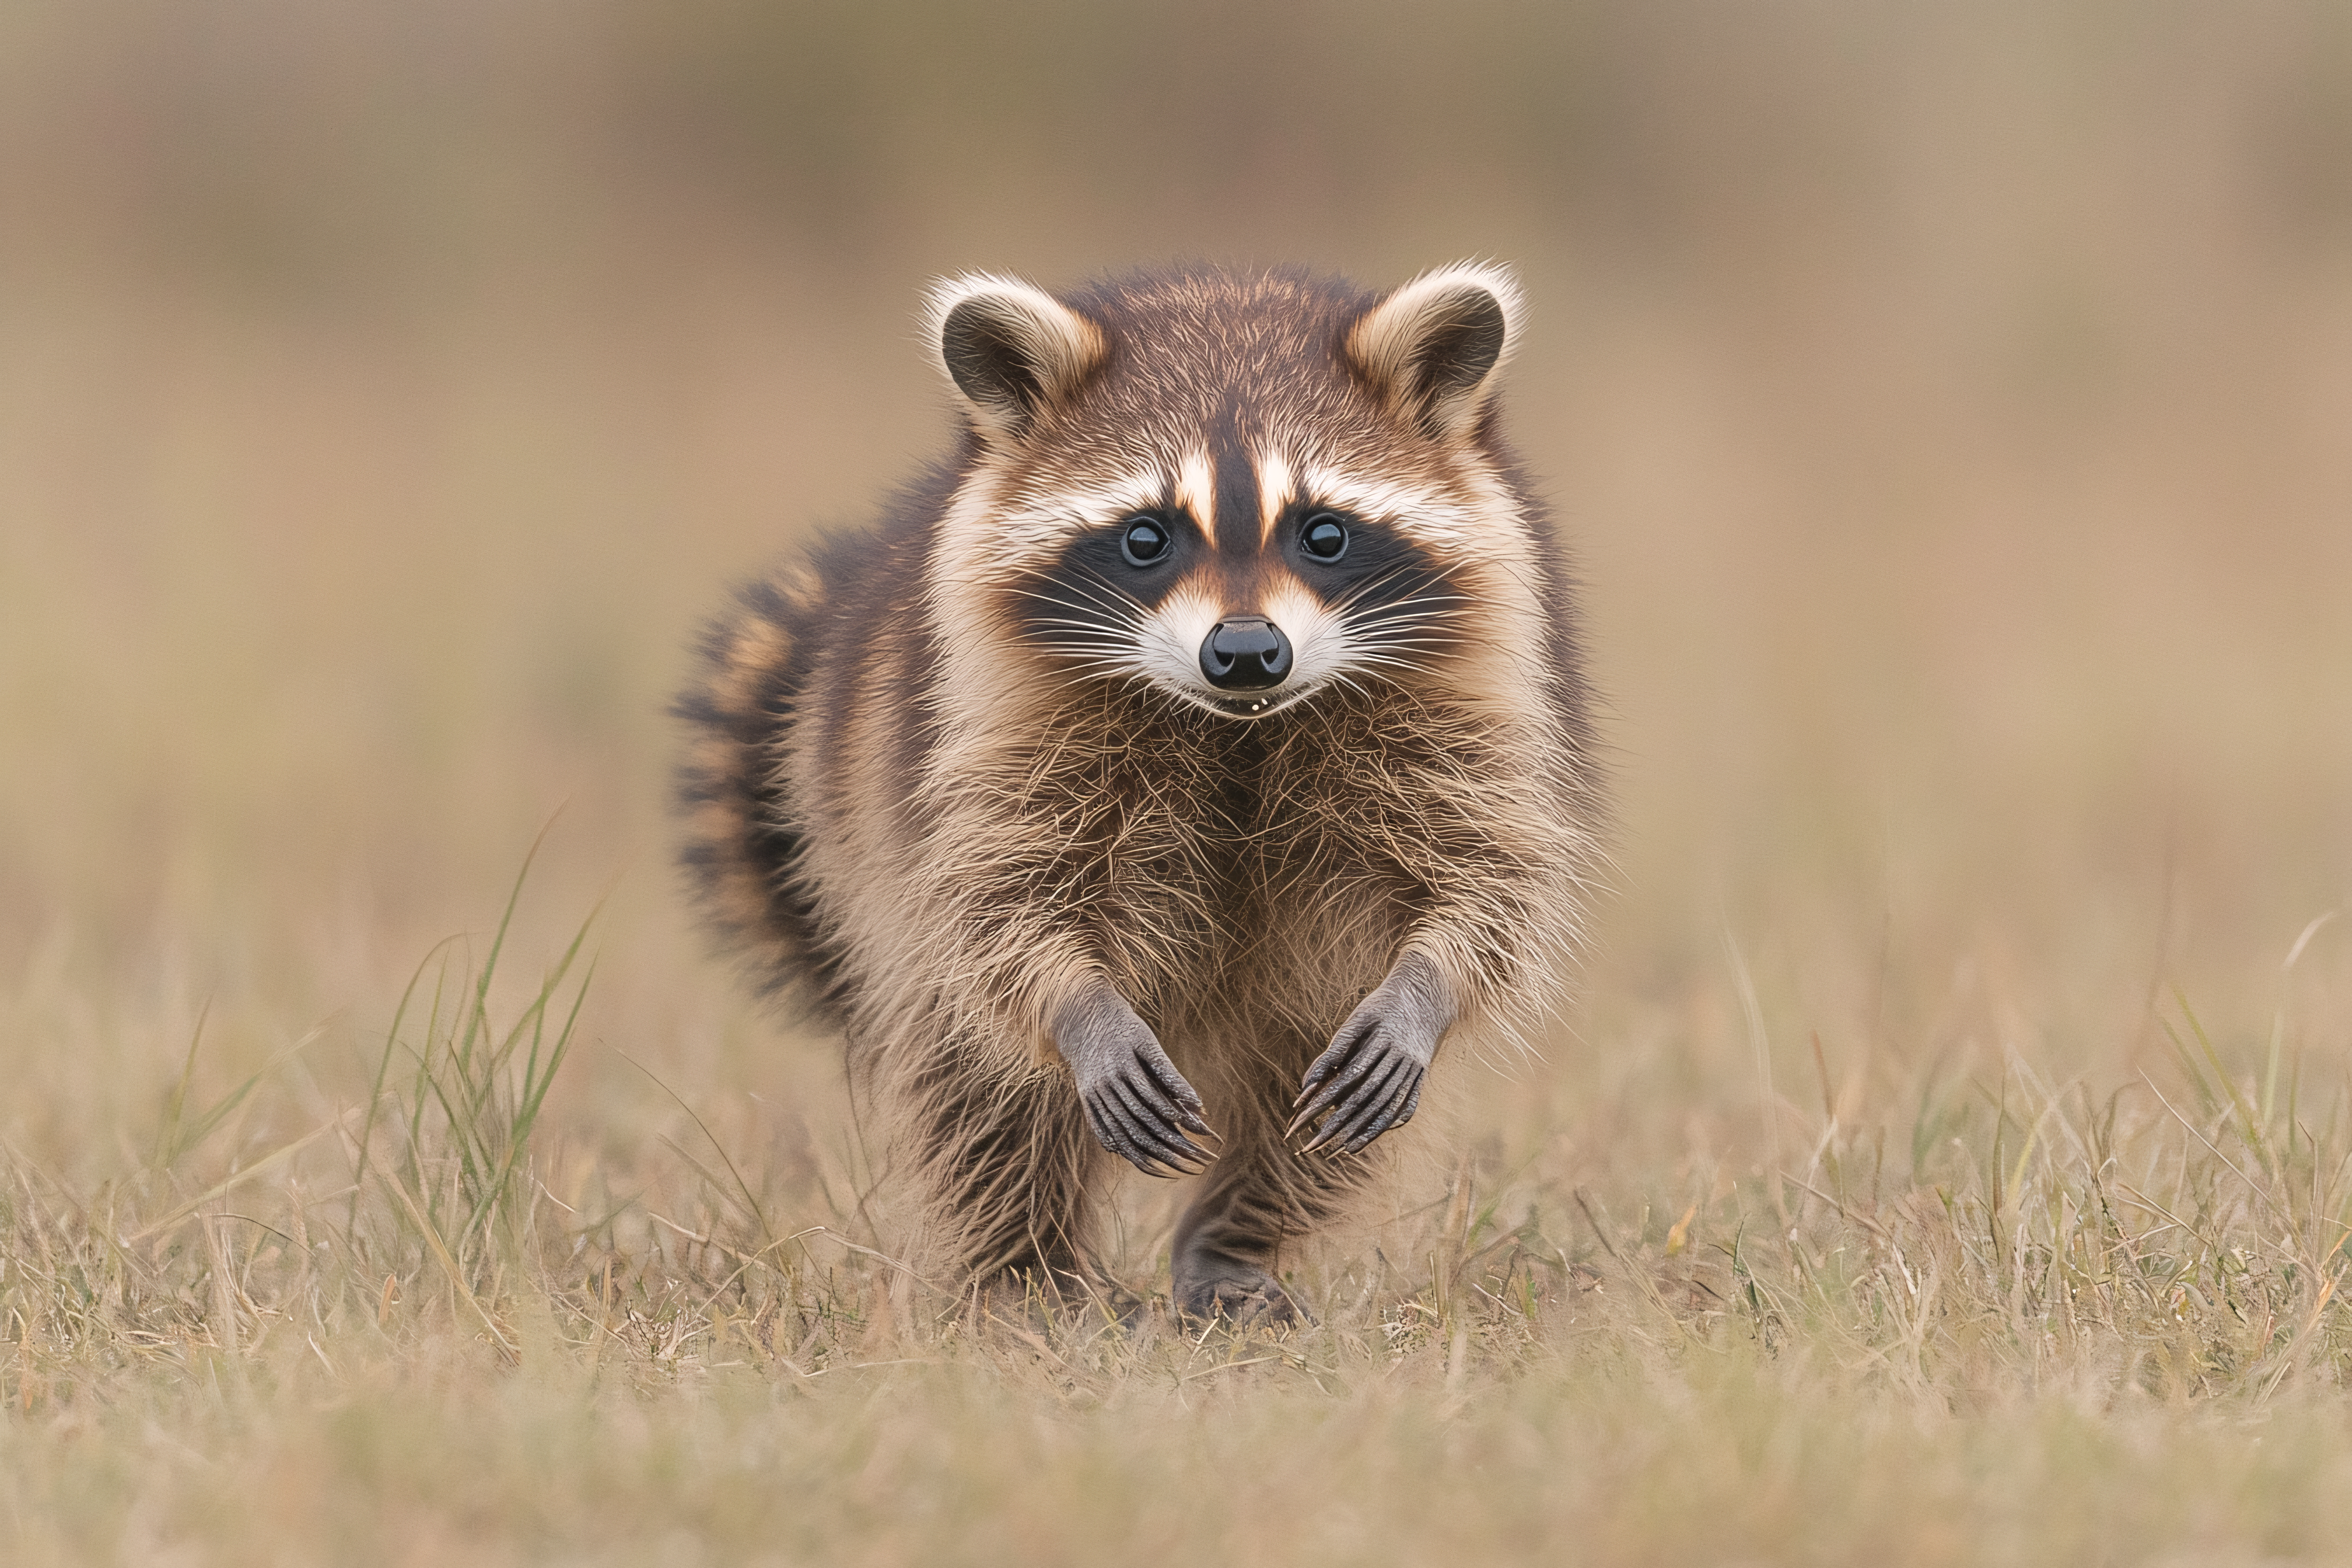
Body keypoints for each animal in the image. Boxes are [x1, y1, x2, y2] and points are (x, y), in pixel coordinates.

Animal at [675, 263, 1602, 1323]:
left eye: (1324, 532)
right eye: (1147, 537)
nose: (1246, 652)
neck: (1240, 722)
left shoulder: (1474, 694)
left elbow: (1488, 877)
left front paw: (1426, 985)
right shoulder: (979, 723)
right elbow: (1003, 903)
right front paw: (1079, 1009)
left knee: (1305, 1114)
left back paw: (1229, 1240)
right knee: (985, 1095)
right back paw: (1028, 1273)